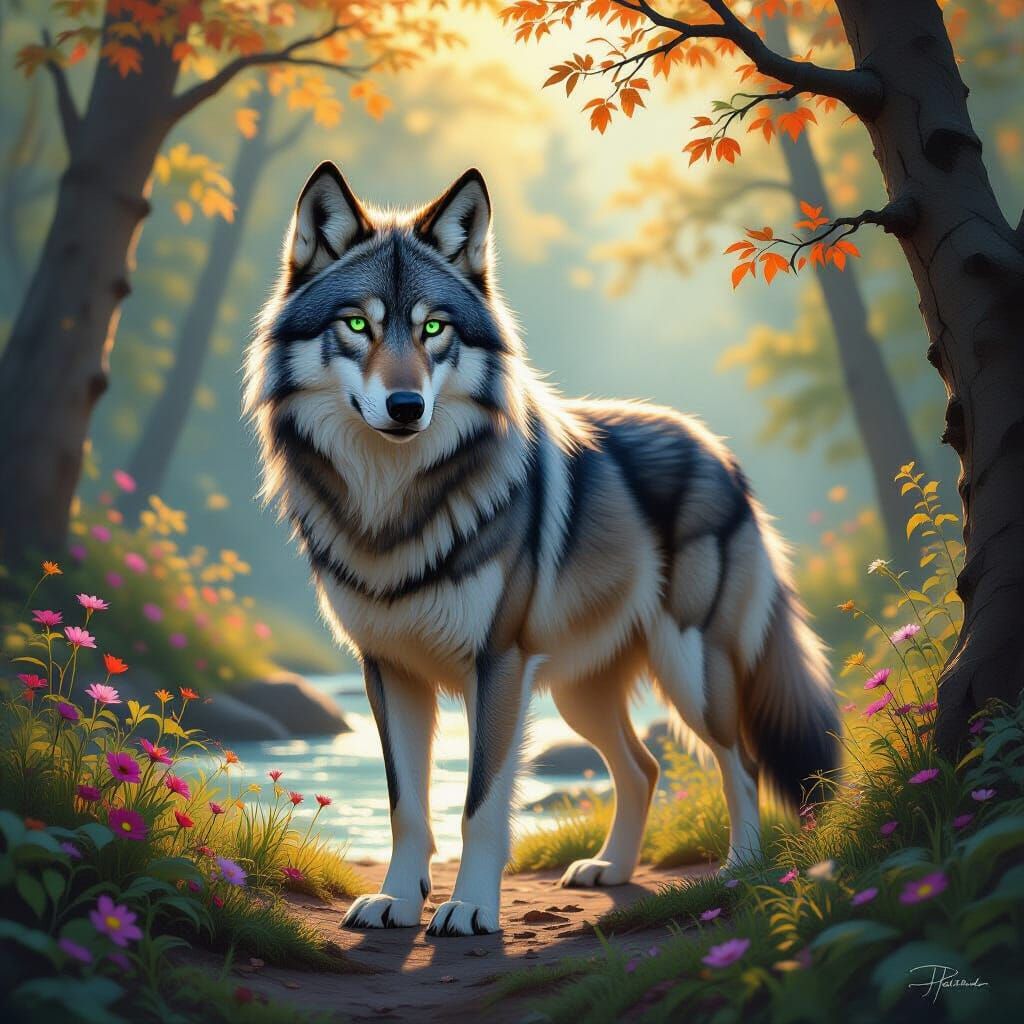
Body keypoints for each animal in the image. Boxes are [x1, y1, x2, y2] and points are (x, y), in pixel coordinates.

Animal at [244, 163, 839, 937]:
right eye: (356, 325)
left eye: (433, 328)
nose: (406, 407)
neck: (393, 507)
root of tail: (717, 449)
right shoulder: (389, 670)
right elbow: (408, 806)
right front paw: (397, 901)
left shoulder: (497, 665)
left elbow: (480, 806)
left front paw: (469, 908)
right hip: (577, 692)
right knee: (643, 767)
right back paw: (610, 868)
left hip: (688, 669)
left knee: (738, 763)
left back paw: (740, 869)